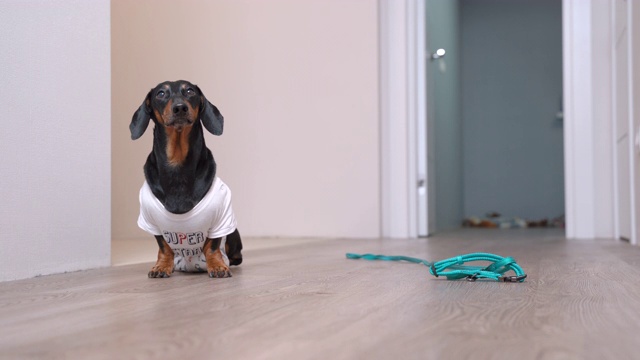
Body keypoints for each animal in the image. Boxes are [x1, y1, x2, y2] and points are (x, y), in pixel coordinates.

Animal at [130, 81, 242, 278]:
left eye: (189, 91)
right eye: (160, 93)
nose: (180, 108)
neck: (177, 164)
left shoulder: (222, 217)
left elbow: (212, 246)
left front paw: (217, 265)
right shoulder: (150, 220)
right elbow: (163, 246)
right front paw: (161, 266)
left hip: (233, 233)